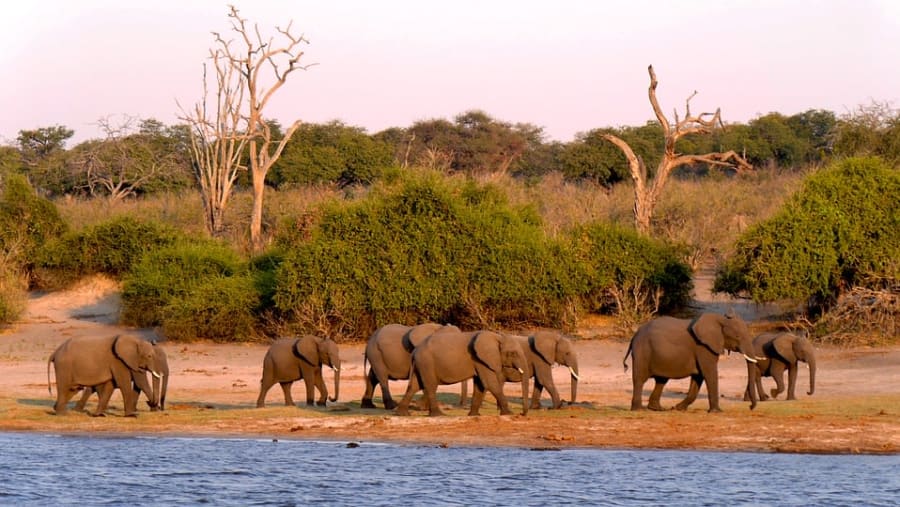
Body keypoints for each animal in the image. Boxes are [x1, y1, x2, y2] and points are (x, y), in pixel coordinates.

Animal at [394, 329, 529, 417]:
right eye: (513, 353)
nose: (522, 413)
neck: (496, 336)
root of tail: (415, 350)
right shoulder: (480, 359)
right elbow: (490, 384)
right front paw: (509, 414)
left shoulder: (480, 360)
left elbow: (480, 385)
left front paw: (474, 415)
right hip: (426, 363)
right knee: (430, 386)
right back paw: (439, 415)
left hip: (421, 364)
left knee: (414, 386)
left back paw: (403, 414)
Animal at [623, 311, 761, 412]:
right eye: (737, 336)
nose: (750, 407)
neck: (719, 319)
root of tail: (634, 336)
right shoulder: (703, 347)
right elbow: (709, 374)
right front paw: (717, 411)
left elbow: (698, 378)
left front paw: (678, 408)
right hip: (642, 351)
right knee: (640, 379)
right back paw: (639, 410)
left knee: (661, 380)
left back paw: (658, 409)